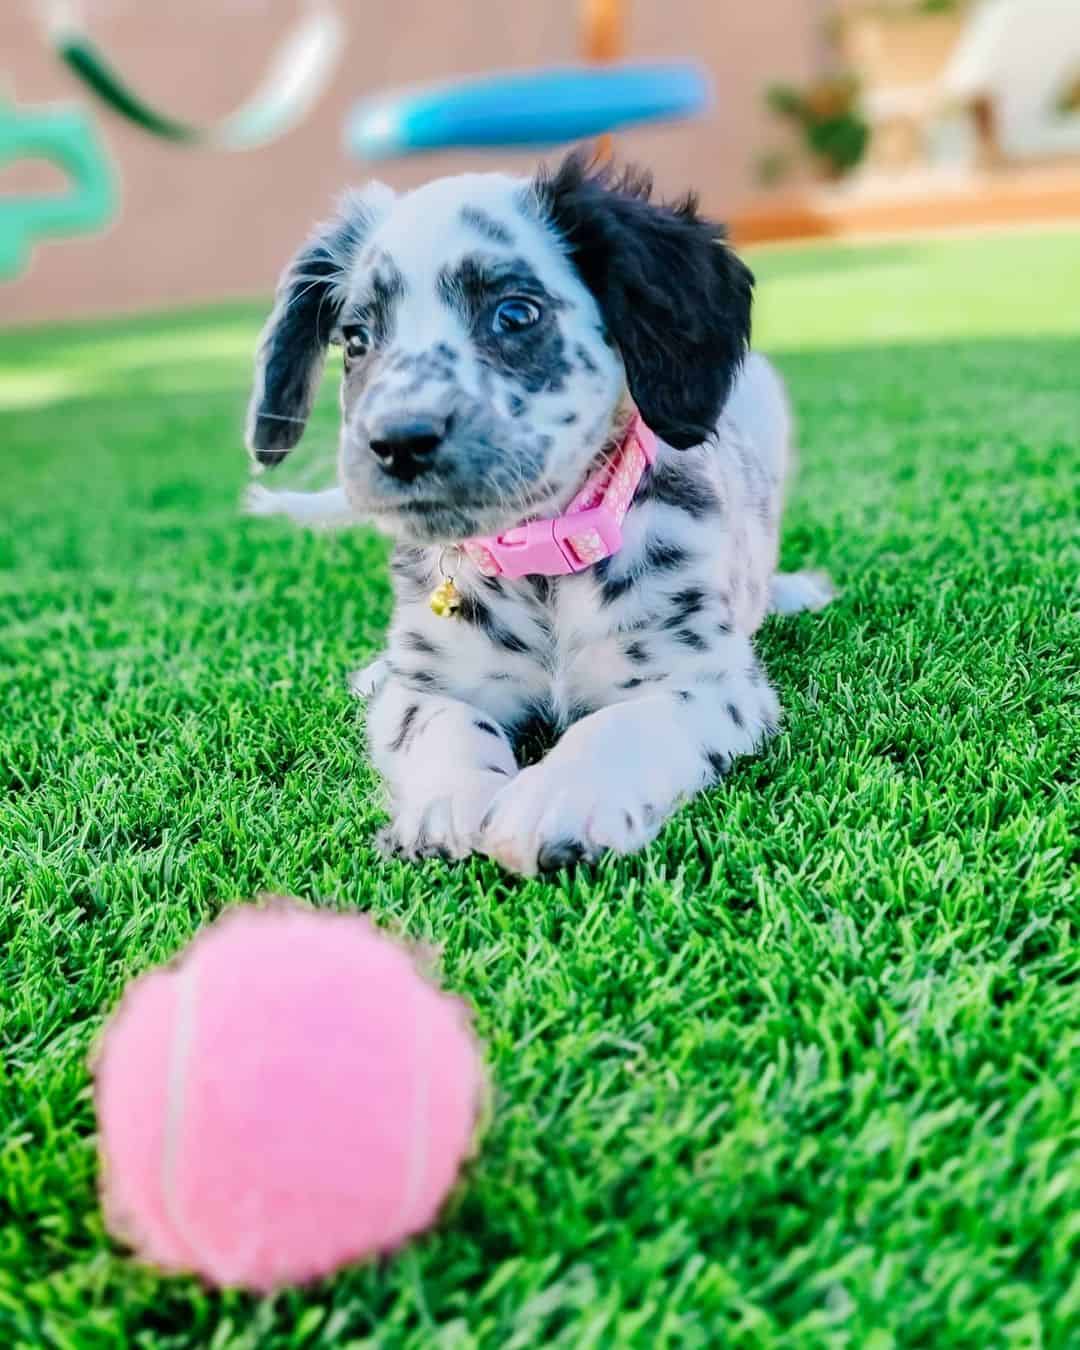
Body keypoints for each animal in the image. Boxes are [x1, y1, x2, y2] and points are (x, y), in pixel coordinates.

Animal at [247, 155, 837, 874]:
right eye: (355, 340)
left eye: (515, 313)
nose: (398, 441)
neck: (542, 568)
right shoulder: (432, 685)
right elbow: (442, 722)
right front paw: (451, 799)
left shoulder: (708, 680)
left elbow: (621, 722)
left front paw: (558, 796)